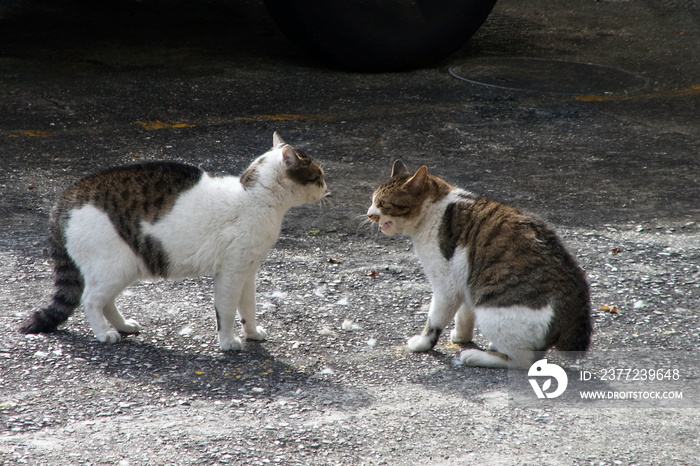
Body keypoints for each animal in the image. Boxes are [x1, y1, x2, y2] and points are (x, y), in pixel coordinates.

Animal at [19, 131, 328, 350]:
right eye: (318, 175)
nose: (327, 187)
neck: (256, 198)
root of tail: (66, 196)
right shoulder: (230, 272)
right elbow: (227, 310)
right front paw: (228, 342)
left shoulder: (247, 271)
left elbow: (248, 307)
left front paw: (252, 332)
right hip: (114, 267)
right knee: (91, 300)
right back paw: (104, 333)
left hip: (124, 269)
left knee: (105, 301)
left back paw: (123, 326)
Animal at [366, 160, 592, 368]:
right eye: (372, 200)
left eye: (383, 203)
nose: (369, 213)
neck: (435, 208)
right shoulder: (465, 279)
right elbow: (464, 313)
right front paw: (461, 336)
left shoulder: (445, 285)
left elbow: (435, 320)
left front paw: (423, 343)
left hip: (493, 312)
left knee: (522, 362)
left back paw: (476, 356)